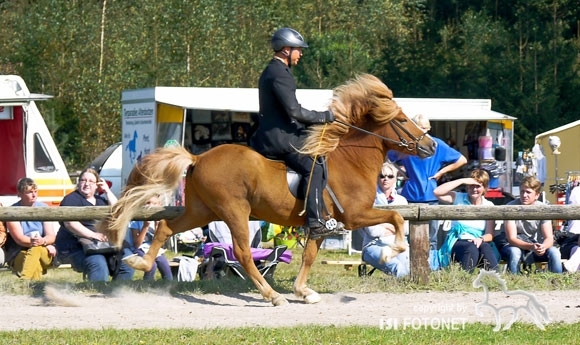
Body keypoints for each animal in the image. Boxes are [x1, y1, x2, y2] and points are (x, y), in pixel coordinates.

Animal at [101, 74, 436, 306]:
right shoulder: (355, 215)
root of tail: (198, 158)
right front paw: (393, 250)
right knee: (242, 253)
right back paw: (272, 295)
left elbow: (309, 256)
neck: (352, 160)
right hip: (235, 211)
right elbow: (396, 218)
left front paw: (304, 291)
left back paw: (140, 262)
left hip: (201, 210)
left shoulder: (322, 224)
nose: (431, 145)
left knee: (166, 227)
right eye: (402, 120)